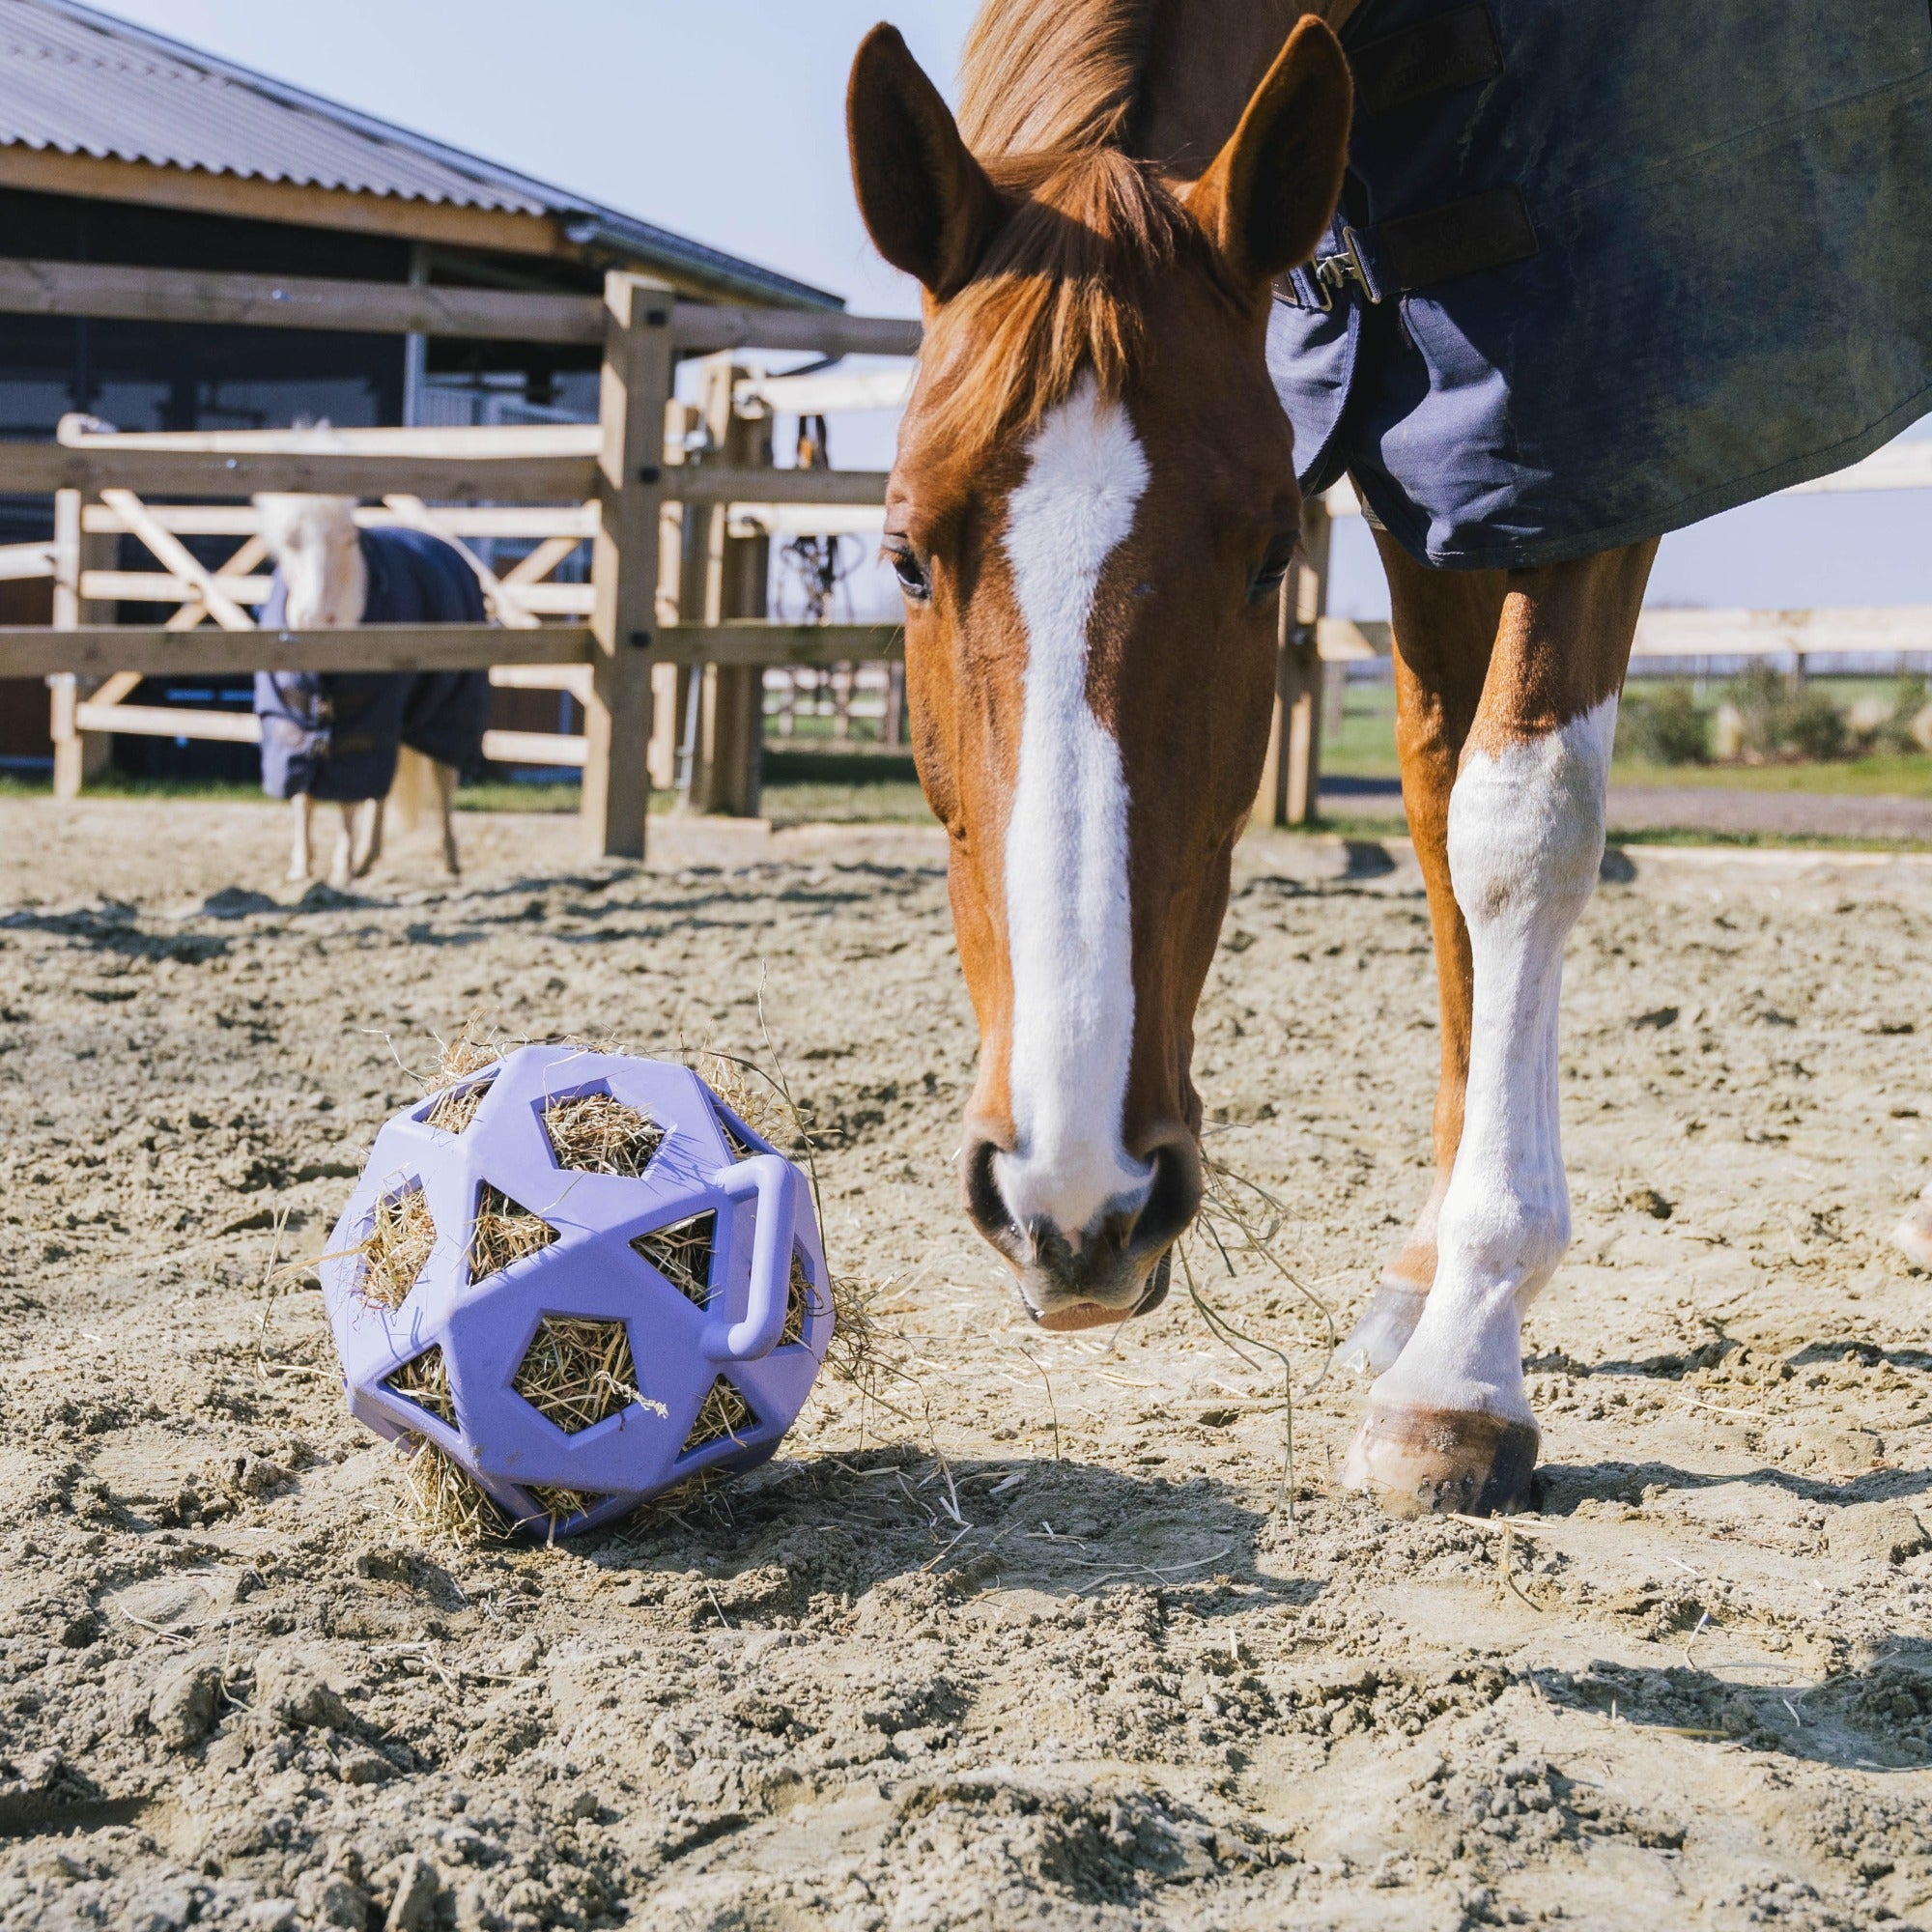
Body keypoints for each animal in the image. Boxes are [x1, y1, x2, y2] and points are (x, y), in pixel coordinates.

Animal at [846, 0, 1662, 1515]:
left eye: (1273, 554)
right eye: (906, 557)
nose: (1074, 1204)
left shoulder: (1591, 444)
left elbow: (1517, 826)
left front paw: (1465, 1360)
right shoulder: (1449, 468)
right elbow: (1438, 809)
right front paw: (1432, 1282)